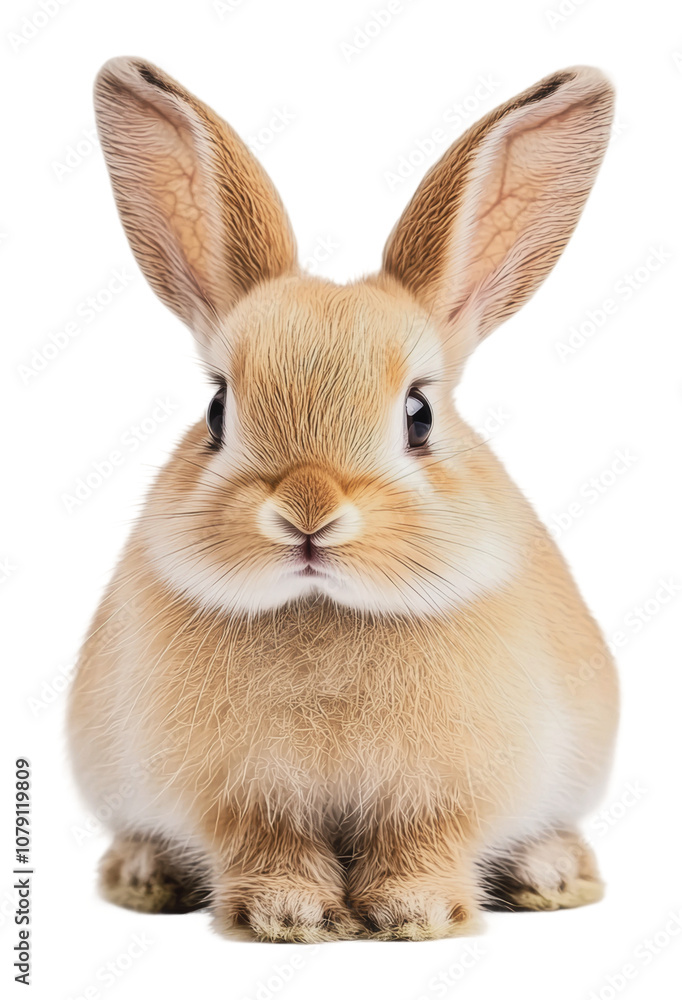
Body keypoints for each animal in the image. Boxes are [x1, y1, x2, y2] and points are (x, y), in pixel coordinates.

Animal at [68, 57, 619, 942]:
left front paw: (414, 915)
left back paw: (552, 872)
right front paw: (289, 916)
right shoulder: (244, 801)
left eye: (419, 415)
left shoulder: (440, 796)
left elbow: (424, 844)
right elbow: (269, 846)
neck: (323, 606)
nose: (307, 510)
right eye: (217, 411)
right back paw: (144, 875)